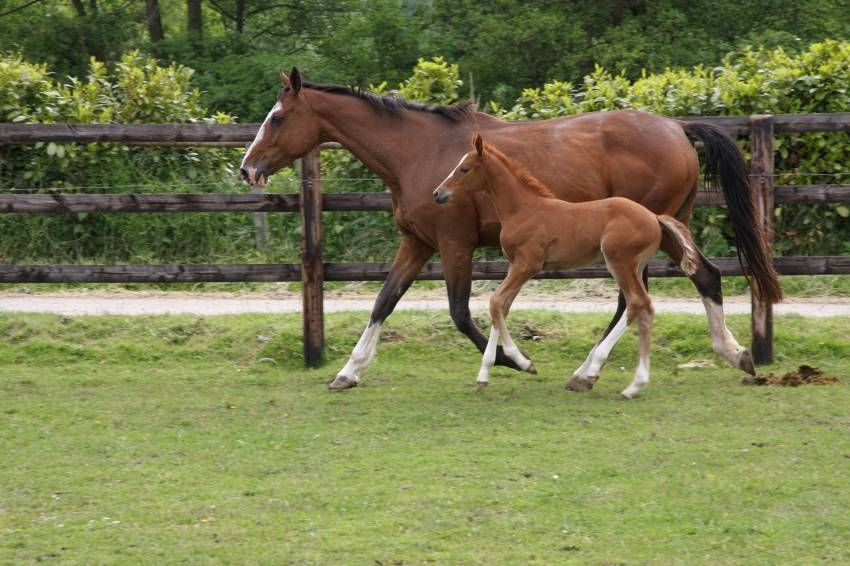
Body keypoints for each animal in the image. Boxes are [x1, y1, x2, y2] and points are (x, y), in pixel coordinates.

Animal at [434, 134, 700, 400]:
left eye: (464, 168)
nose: (438, 193)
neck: (522, 209)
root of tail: (654, 217)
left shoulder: (527, 264)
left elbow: (496, 302)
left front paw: (524, 363)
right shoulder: (513, 265)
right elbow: (502, 307)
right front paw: (484, 376)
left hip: (619, 261)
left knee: (636, 303)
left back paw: (593, 370)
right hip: (635, 265)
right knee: (645, 309)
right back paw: (634, 385)